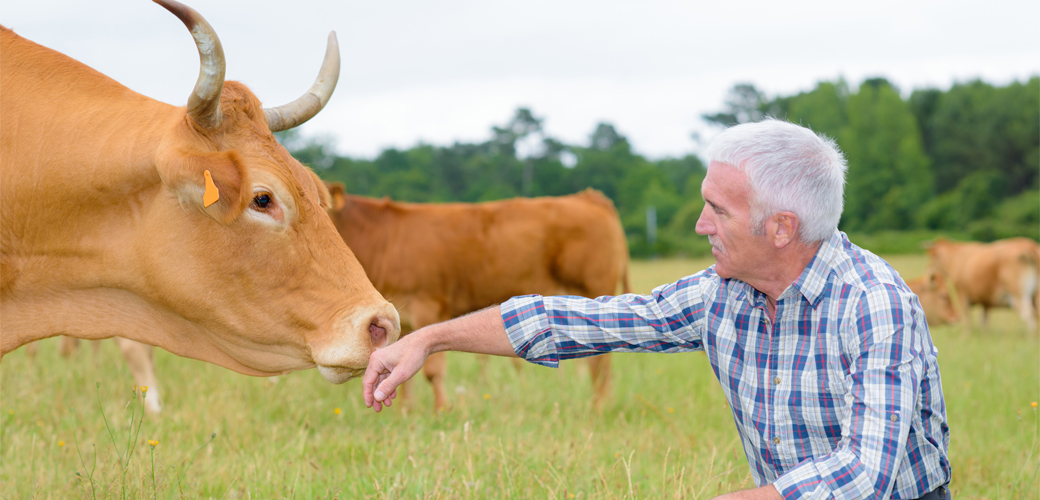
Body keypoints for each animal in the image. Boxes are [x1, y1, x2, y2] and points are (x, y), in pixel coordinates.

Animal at [328, 185, 628, 411]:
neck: (387, 240)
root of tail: (586, 197)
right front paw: (406, 412)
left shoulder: (429, 307)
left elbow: (432, 371)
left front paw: (441, 410)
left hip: (591, 290)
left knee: (601, 363)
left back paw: (598, 407)